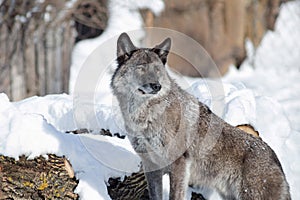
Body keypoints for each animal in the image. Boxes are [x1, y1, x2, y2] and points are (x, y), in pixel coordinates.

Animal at [110, 33, 290, 200]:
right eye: (141, 68)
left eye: (157, 70)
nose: (156, 86)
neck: (144, 116)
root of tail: (274, 157)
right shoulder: (151, 166)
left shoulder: (178, 164)